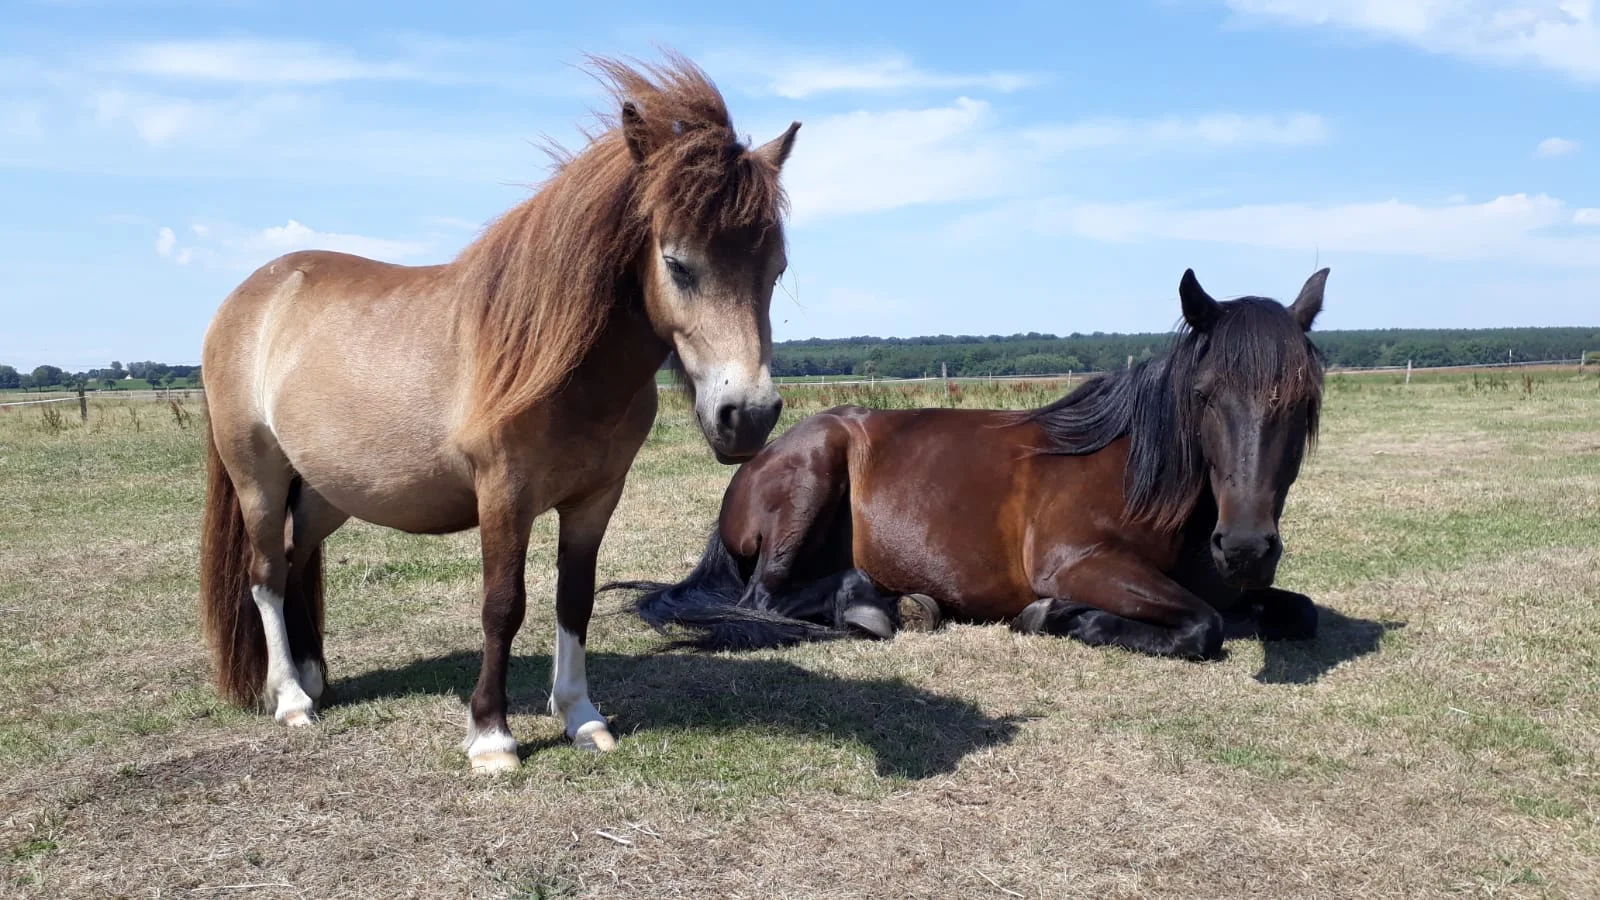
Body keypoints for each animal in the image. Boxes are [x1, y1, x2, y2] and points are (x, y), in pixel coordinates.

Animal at [199, 54, 801, 773]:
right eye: (677, 263)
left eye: (776, 268)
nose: (749, 416)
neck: (555, 361)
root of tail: (251, 295)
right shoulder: (503, 497)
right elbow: (503, 606)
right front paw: (491, 735)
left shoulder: (596, 498)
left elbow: (574, 599)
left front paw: (581, 717)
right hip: (258, 477)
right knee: (264, 575)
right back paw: (291, 699)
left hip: (326, 490)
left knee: (294, 563)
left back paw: (316, 678)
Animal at [612, 268, 1329, 660]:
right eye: (1204, 395)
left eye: (1304, 400)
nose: (1245, 548)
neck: (1141, 477)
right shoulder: (1078, 564)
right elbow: (1203, 627)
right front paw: (1061, 617)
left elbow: (1299, 611)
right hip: (813, 476)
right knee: (765, 599)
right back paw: (872, 606)